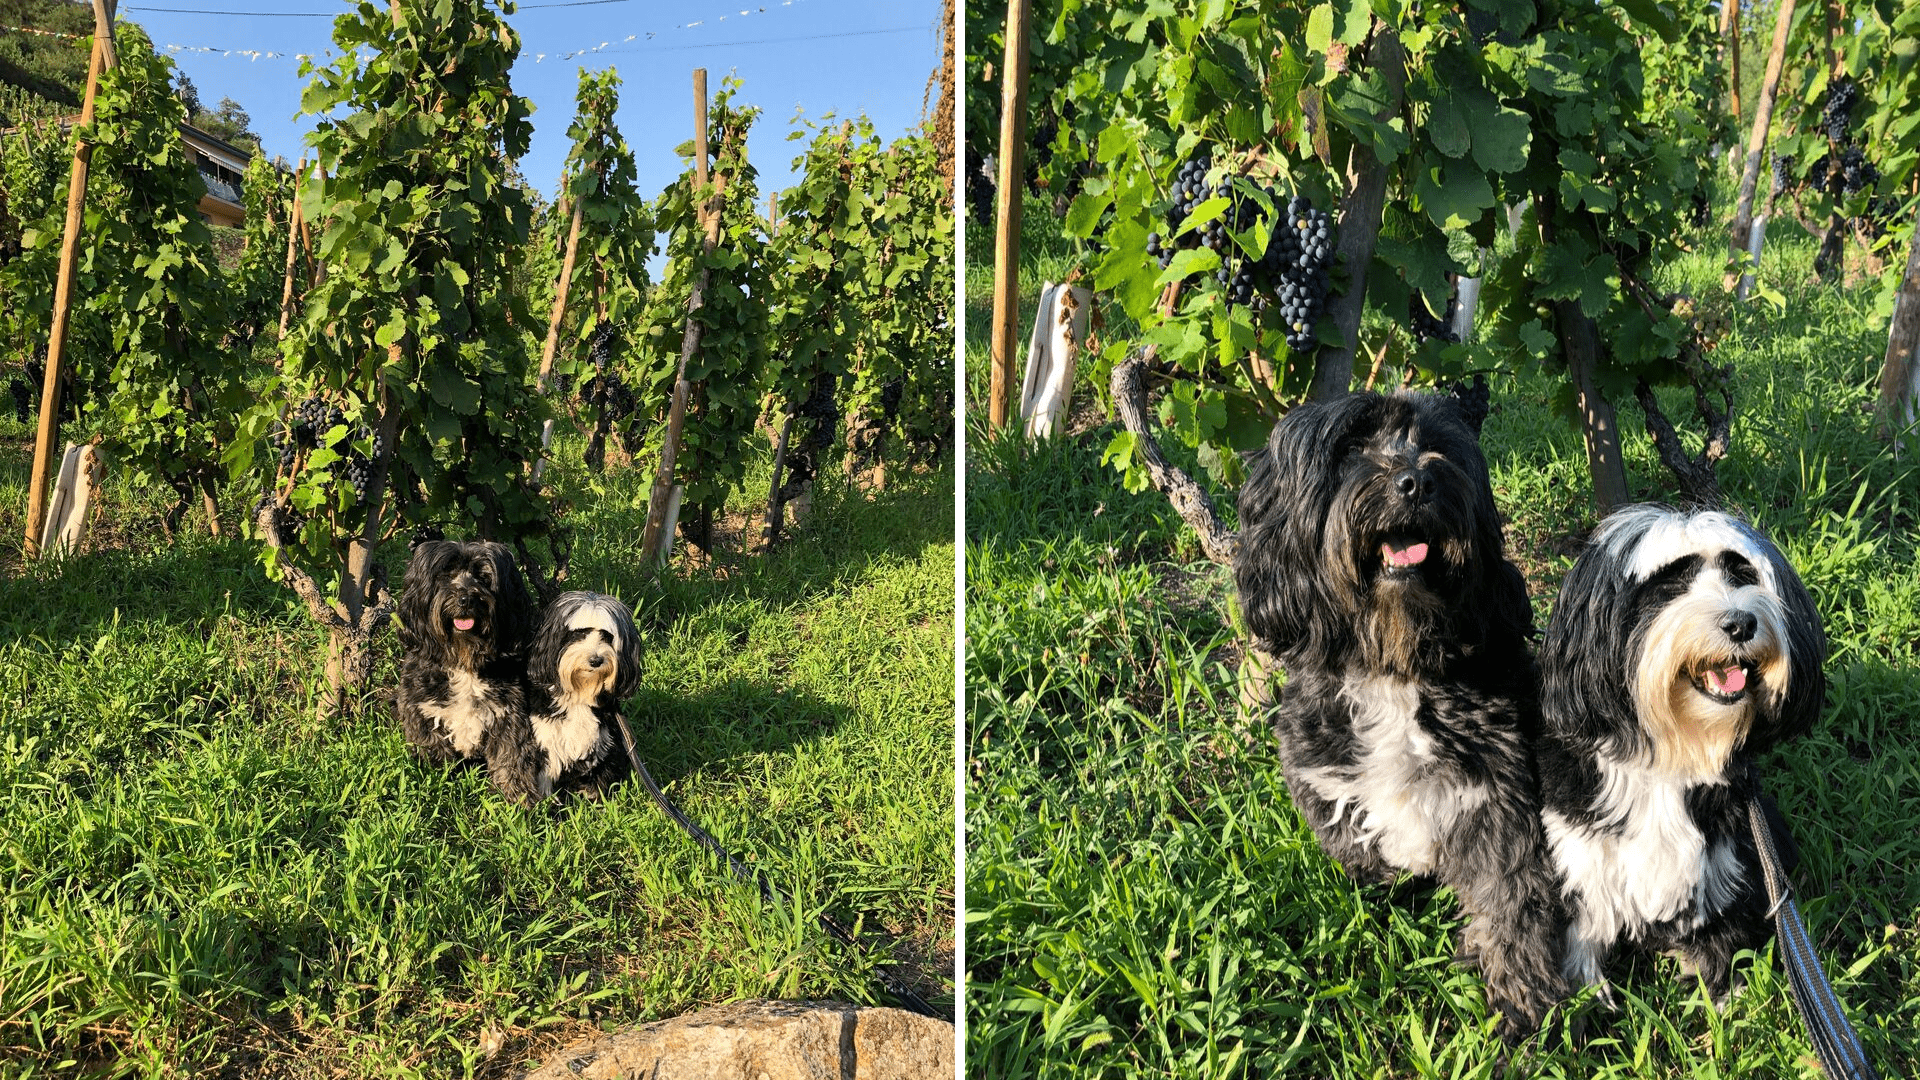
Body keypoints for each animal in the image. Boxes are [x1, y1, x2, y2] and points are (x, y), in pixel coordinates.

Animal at [389, 538, 541, 799]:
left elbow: (512, 758)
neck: (463, 661)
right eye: (446, 575)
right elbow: (434, 756)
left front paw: (518, 799)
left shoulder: (509, 715)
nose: (466, 599)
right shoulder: (423, 714)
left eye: (484, 577)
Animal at [522, 588, 641, 799]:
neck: (579, 693)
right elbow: (544, 778)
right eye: (578, 633)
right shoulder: (545, 741)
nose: (595, 660)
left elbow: (598, 780)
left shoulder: (603, 744)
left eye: (607, 636)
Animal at [1236, 386, 1566, 1037]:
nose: (1416, 482)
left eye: (1438, 446)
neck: (1393, 663)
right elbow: (1360, 856)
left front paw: (1524, 1002)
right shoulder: (1327, 784)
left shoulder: (1499, 797)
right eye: (1349, 448)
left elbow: (1513, 900)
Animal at [1528, 503, 1827, 999]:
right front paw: (1586, 997)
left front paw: (1724, 999)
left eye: (1743, 574)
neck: (1673, 751)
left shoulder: (1723, 868)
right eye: (1669, 584)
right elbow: (1583, 936)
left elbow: (1720, 944)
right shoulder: (1581, 860)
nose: (1741, 622)